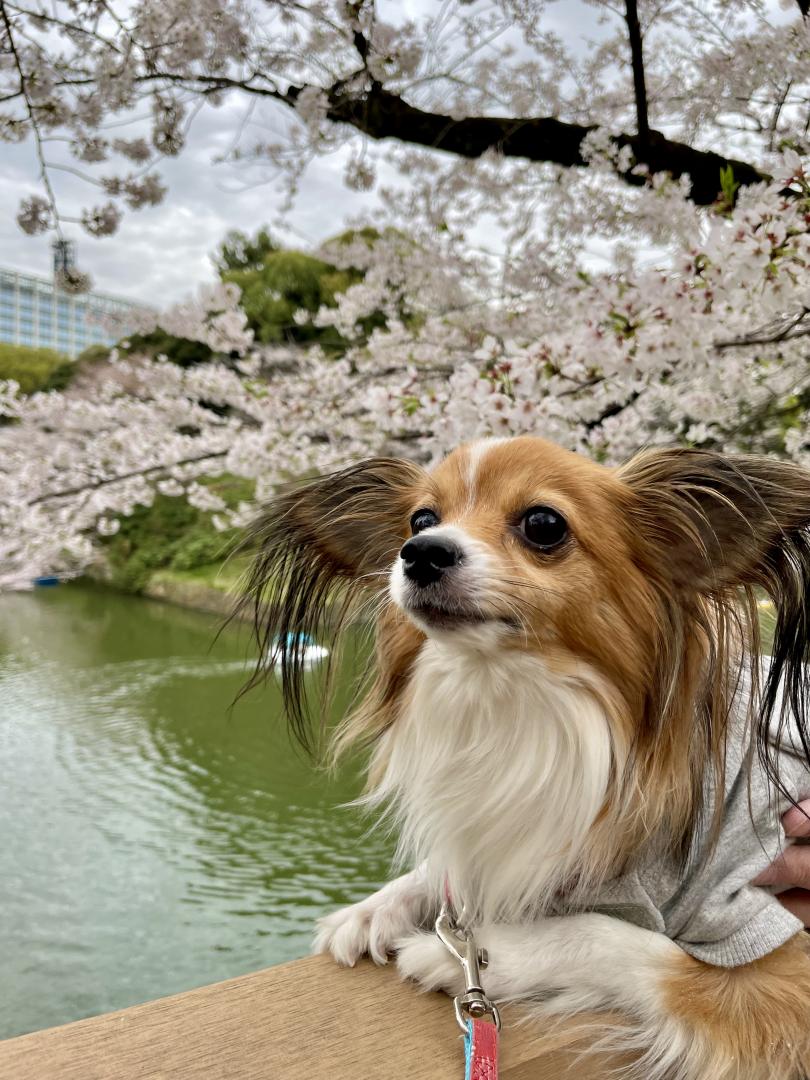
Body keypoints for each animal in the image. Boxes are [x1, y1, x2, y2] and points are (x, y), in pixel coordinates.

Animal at [246, 436, 810, 1080]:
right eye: (420, 520)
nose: (420, 553)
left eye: (543, 524)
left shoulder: (763, 941)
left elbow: (612, 937)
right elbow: (453, 874)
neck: (517, 700)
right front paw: (375, 909)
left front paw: (474, 957)